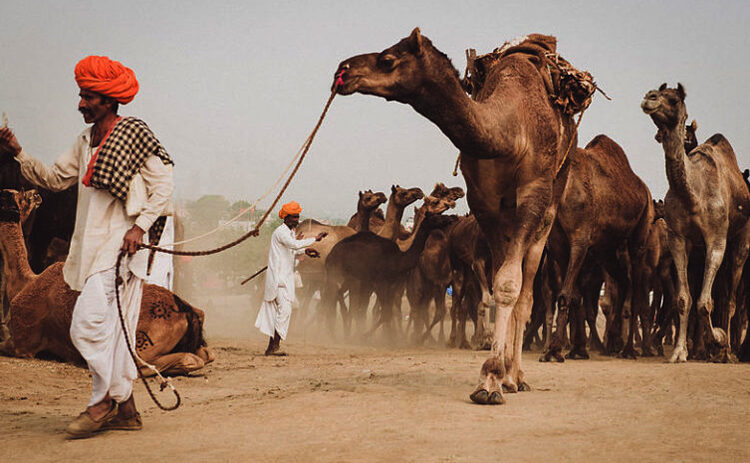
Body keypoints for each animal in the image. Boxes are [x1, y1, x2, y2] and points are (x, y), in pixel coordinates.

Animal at [0, 189, 214, 376]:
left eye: (21, 197)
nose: (36, 194)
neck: (25, 283)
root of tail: (188, 312)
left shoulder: (22, 344)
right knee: (205, 355)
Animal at [336, 30, 586, 403]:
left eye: (388, 59)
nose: (343, 70)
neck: (508, 131)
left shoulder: (534, 194)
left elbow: (509, 287)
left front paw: (490, 379)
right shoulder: (484, 204)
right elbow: (496, 285)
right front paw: (494, 376)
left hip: (552, 200)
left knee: (528, 292)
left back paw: (517, 375)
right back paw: (510, 376)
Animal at [642, 83, 750, 362]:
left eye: (674, 99)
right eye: (656, 92)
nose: (649, 98)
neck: (694, 195)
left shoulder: (716, 239)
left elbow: (705, 302)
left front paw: (718, 339)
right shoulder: (678, 238)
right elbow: (684, 299)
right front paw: (680, 351)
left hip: (741, 241)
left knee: (730, 299)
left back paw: (728, 351)